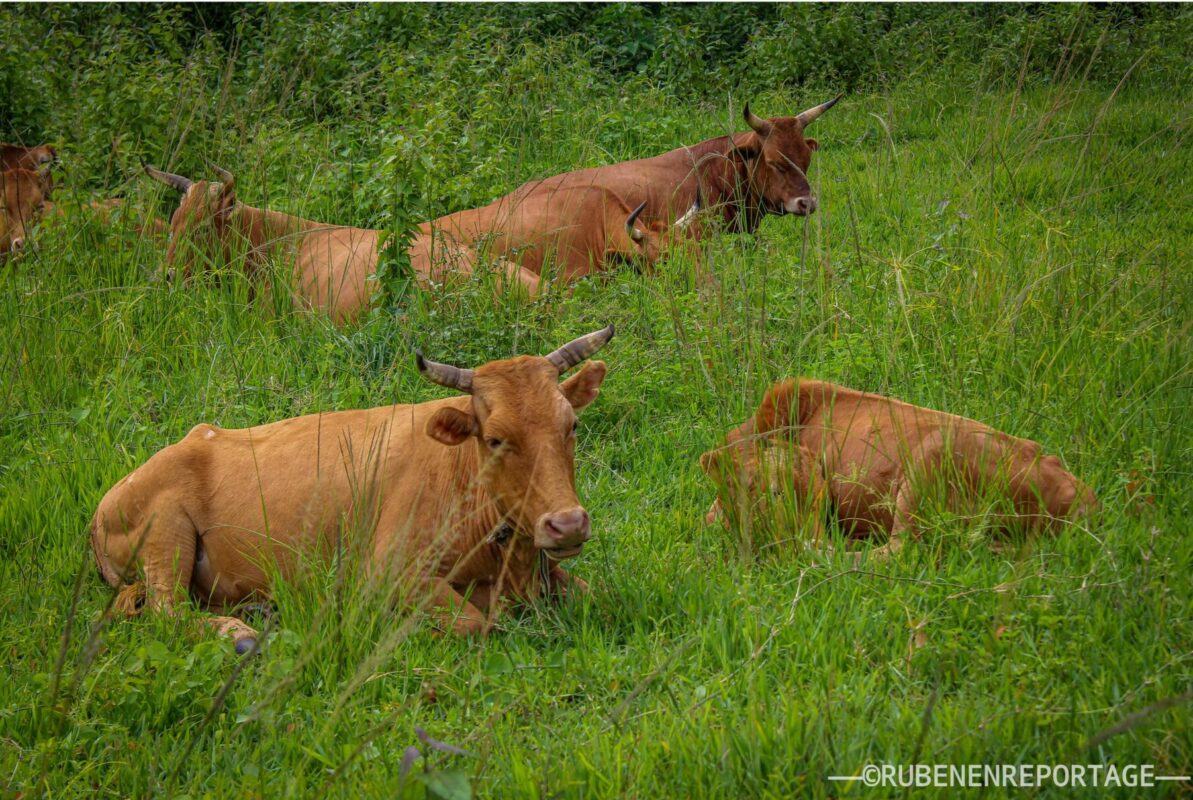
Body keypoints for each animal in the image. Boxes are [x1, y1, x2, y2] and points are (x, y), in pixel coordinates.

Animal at [90, 329, 615, 653]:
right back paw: (240, 635)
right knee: (168, 613)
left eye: (570, 425)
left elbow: (597, 594)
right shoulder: (388, 573)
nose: (567, 524)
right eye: (495, 439)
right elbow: (474, 623)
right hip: (166, 535)